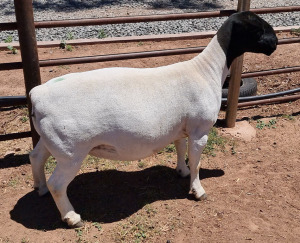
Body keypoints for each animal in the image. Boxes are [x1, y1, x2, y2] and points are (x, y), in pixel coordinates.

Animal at [28, 11, 276, 228]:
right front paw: (198, 190)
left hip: (50, 139)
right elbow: (196, 161)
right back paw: (72, 218)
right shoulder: (200, 130)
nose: (274, 43)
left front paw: (182, 171)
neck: (207, 70)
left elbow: (180, 148)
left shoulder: (182, 128)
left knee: (36, 157)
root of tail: (37, 94)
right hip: (70, 150)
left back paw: (40, 189)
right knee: (57, 184)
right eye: (256, 28)